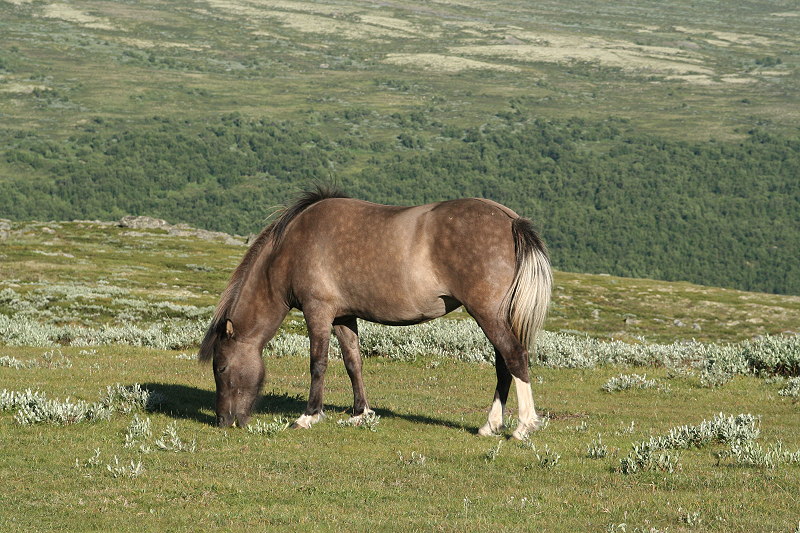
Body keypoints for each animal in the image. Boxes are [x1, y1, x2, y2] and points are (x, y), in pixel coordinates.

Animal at [197, 189, 552, 438]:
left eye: (221, 367)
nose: (223, 421)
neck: (290, 248)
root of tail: (510, 220)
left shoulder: (318, 312)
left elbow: (318, 363)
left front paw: (309, 415)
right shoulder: (343, 316)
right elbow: (353, 361)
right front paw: (360, 413)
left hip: (487, 313)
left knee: (515, 357)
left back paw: (523, 427)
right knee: (503, 365)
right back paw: (490, 426)